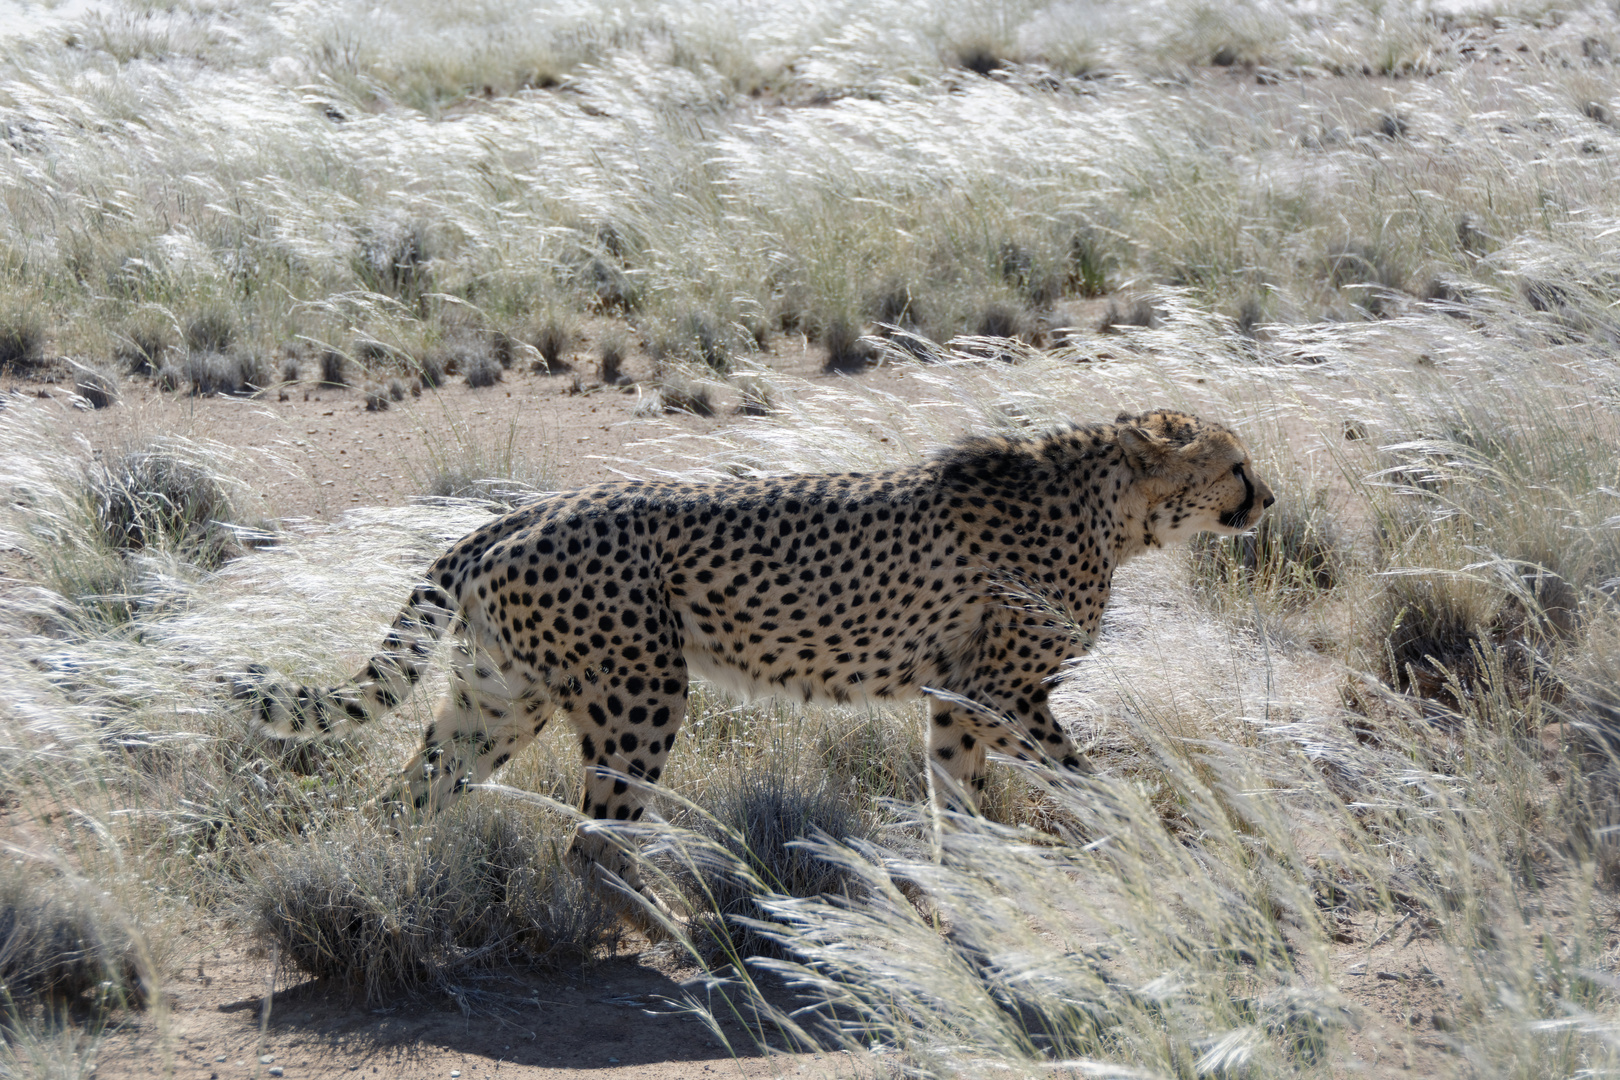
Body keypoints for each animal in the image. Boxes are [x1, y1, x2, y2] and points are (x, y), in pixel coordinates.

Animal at [236, 409, 1276, 906]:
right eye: (1234, 463)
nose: (1266, 500)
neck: (1114, 506)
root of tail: (522, 512)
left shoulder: (957, 695)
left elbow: (956, 793)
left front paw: (969, 876)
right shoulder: (1003, 689)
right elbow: (1082, 777)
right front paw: (1140, 839)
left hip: (500, 700)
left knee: (405, 796)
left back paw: (380, 885)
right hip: (641, 692)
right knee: (592, 842)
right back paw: (675, 934)